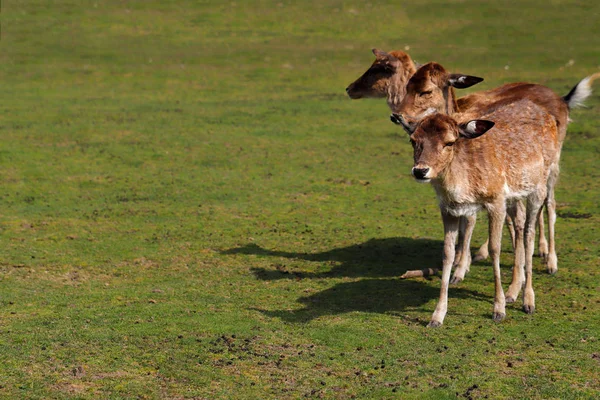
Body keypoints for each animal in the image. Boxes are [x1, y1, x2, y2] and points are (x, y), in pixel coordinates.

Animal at [408, 99, 564, 324]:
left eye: (449, 142)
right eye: (413, 140)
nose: (420, 171)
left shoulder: (496, 199)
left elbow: (494, 249)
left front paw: (498, 309)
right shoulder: (447, 208)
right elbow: (447, 253)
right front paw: (437, 316)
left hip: (544, 179)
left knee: (533, 227)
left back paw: (531, 295)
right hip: (516, 195)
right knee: (520, 224)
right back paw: (513, 291)